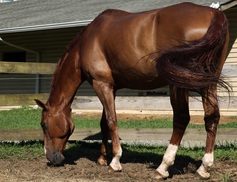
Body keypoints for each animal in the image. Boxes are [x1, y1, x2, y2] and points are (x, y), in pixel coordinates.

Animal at [34, 2, 229, 179]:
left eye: (43, 124)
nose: (52, 158)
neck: (86, 43)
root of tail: (214, 14)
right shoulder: (110, 87)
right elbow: (104, 122)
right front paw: (102, 158)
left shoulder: (101, 84)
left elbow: (111, 121)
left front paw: (115, 162)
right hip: (208, 82)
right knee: (212, 117)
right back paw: (204, 168)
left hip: (179, 84)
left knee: (181, 118)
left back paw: (163, 167)